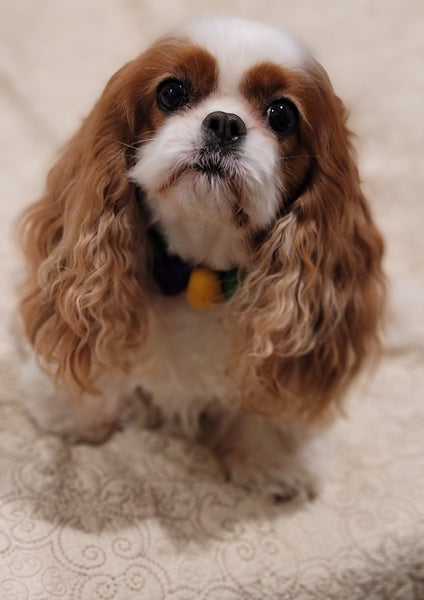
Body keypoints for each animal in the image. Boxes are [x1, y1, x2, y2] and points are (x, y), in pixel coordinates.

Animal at [18, 16, 386, 500]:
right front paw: (78, 408)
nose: (225, 123)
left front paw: (270, 455)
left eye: (282, 115)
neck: (199, 268)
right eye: (172, 92)